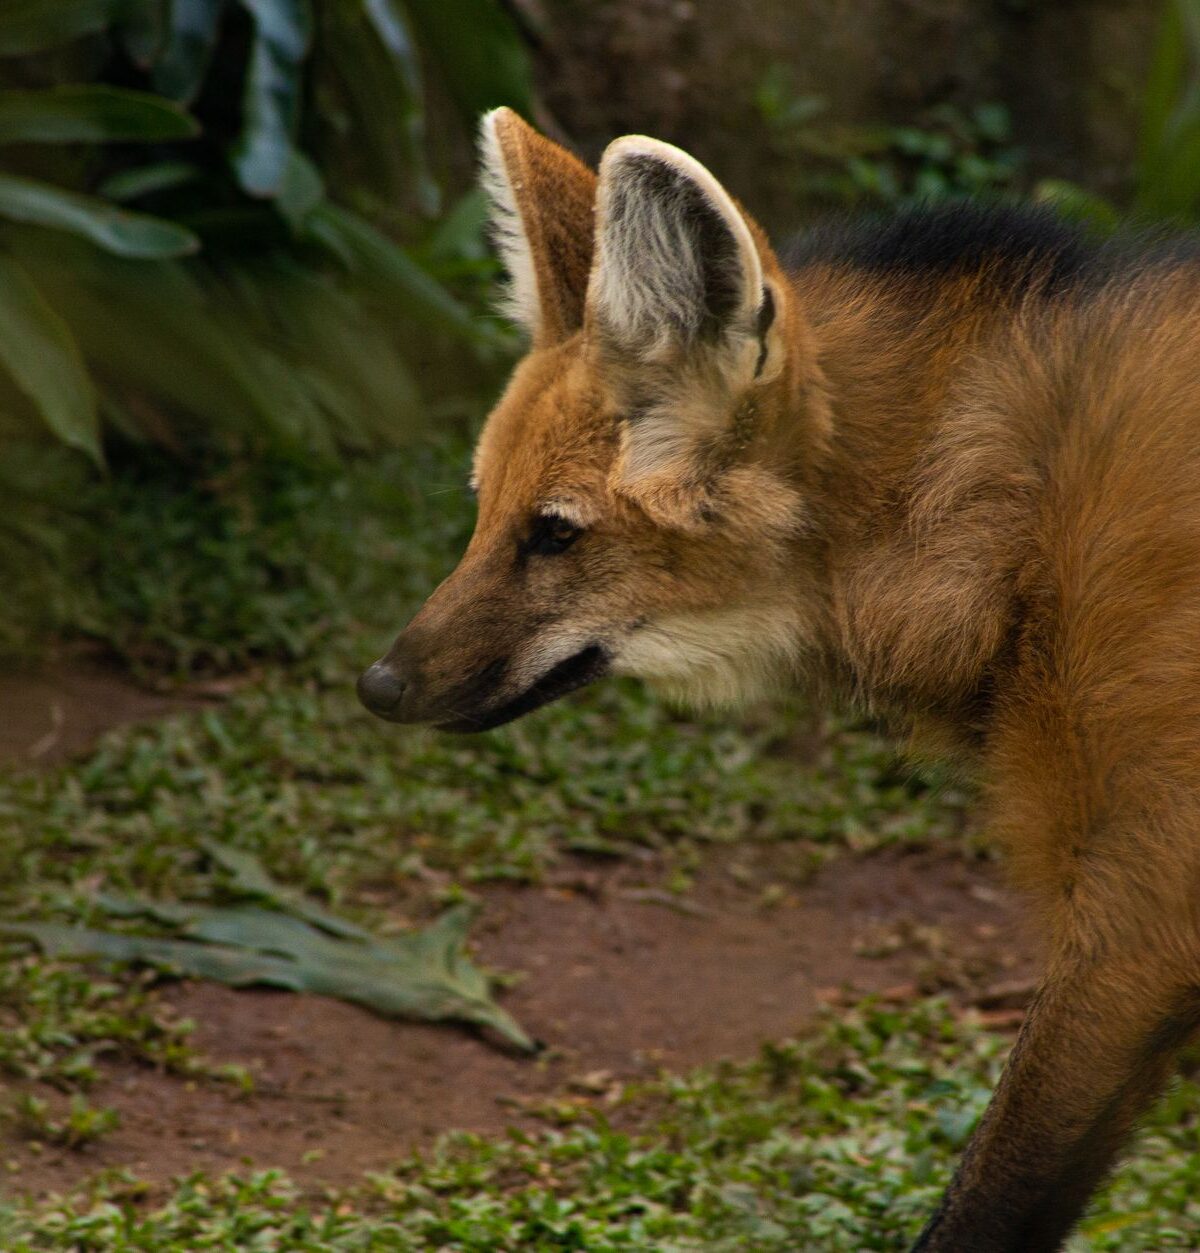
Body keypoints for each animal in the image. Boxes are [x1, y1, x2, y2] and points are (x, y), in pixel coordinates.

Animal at [358, 107, 1200, 1250]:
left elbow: (986, 1199)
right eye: (484, 509)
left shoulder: (1136, 921)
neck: (1004, 520)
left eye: (555, 533)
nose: (380, 685)